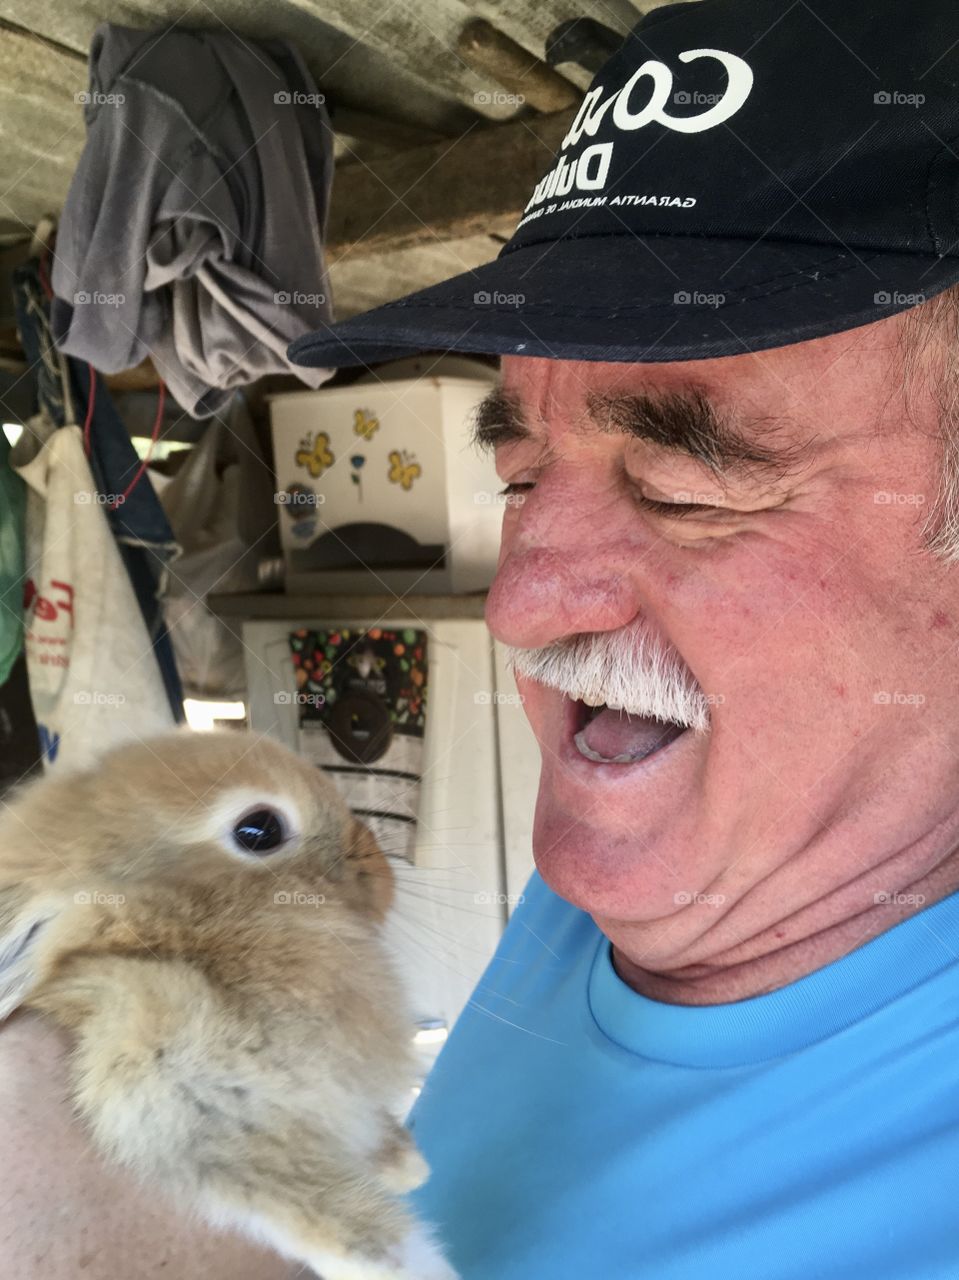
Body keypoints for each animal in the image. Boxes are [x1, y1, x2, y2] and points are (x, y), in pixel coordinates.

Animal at [0, 732, 460, 1280]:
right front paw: (417, 1264)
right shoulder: (195, 1125)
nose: (379, 865)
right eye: (259, 830)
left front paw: (409, 1165)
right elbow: (350, 1226)